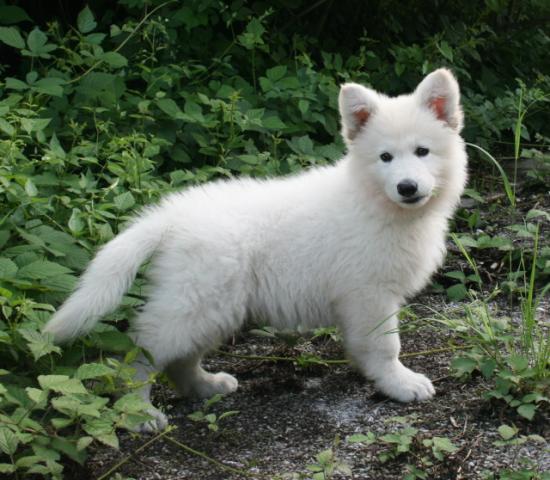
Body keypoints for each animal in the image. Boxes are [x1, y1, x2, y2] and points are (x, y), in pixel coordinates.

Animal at [46, 69, 470, 434]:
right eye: (385, 158)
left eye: (422, 151)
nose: (407, 187)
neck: (378, 203)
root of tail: (171, 216)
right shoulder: (369, 294)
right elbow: (384, 346)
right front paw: (399, 383)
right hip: (196, 304)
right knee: (140, 351)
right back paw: (139, 412)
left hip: (212, 307)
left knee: (180, 359)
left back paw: (206, 386)